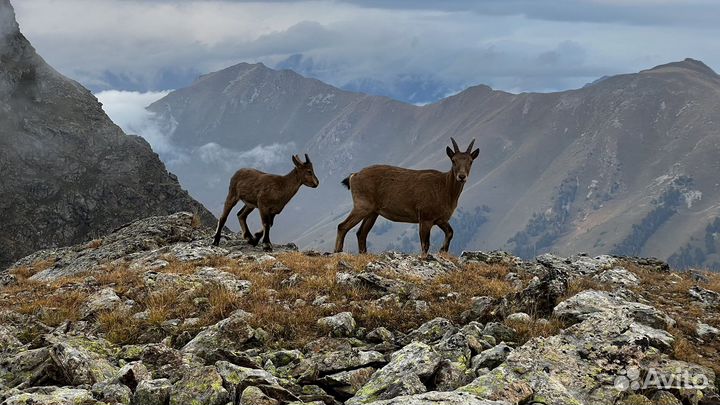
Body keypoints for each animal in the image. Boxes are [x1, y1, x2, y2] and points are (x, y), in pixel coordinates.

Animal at [336, 137, 478, 258]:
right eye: (453, 160)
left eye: (470, 161)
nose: (461, 176)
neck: (445, 189)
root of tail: (353, 176)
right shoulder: (425, 216)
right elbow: (425, 244)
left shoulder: (440, 219)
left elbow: (450, 232)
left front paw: (442, 250)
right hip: (362, 205)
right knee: (342, 226)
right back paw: (337, 252)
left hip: (373, 212)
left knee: (361, 233)